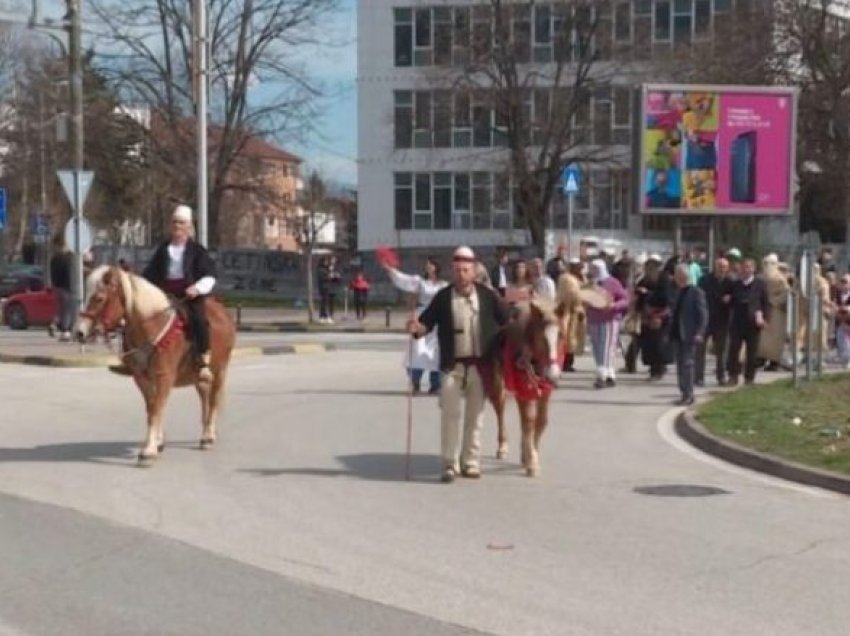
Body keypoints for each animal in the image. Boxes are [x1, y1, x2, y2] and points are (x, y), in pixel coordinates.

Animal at [75, 264, 237, 468]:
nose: (79, 332)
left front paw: (149, 450)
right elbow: (151, 408)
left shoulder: (163, 377)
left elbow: (157, 409)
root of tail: (222, 311)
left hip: (220, 369)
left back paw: (208, 436)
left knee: (214, 400)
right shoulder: (141, 378)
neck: (151, 328)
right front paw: (157, 442)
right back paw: (206, 431)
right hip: (198, 376)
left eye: (99, 298)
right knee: (204, 398)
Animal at [484, 300, 564, 476]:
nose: (553, 375)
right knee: (500, 409)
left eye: (561, 336)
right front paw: (532, 462)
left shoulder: (544, 392)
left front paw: (531, 455)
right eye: (542, 338)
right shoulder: (523, 391)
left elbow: (540, 421)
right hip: (498, 384)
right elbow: (529, 421)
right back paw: (503, 446)